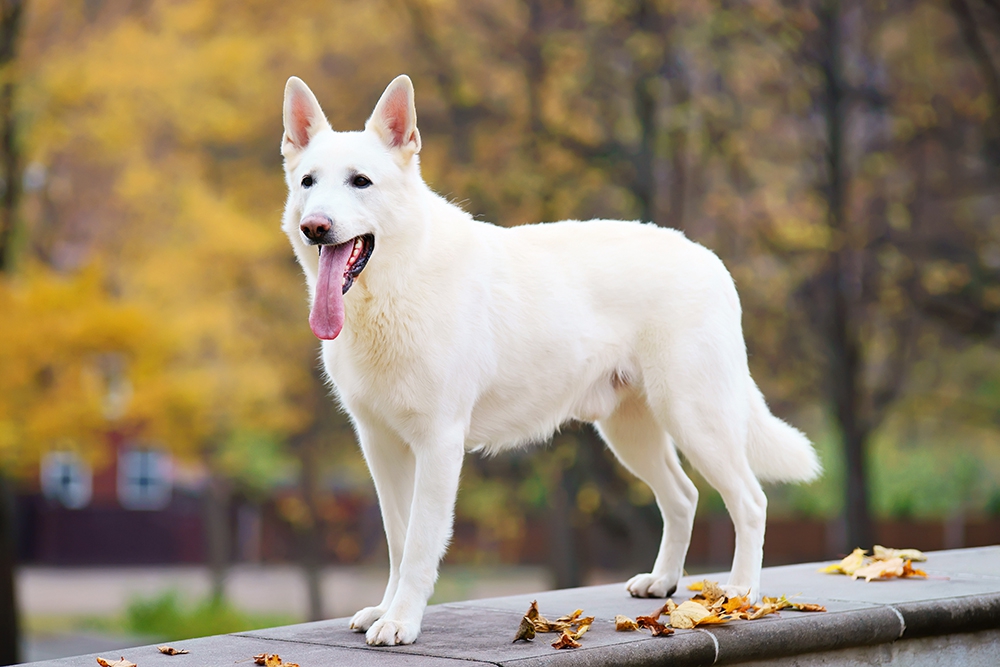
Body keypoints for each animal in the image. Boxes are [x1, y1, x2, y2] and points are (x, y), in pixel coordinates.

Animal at [280, 74, 820, 648]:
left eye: (361, 182)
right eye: (309, 181)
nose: (316, 227)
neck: (396, 287)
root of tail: (710, 258)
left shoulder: (438, 443)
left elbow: (421, 545)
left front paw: (401, 620)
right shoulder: (380, 445)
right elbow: (398, 540)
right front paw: (384, 610)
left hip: (697, 420)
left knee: (750, 502)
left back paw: (741, 594)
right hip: (630, 433)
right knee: (684, 496)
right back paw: (663, 583)